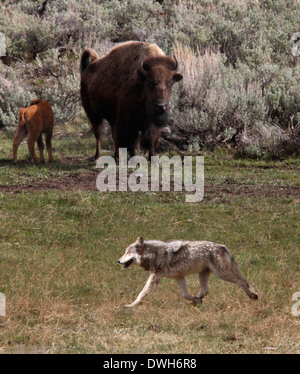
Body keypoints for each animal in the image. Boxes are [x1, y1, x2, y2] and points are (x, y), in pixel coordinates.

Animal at [117, 237, 258, 306]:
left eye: (127, 252)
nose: (118, 261)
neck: (154, 254)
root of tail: (223, 246)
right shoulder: (180, 277)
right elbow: (185, 294)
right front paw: (193, 299)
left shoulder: (154, 278)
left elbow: (141, 293)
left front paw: (131, 305)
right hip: (204, 274)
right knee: (204, 291)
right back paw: (197, 301)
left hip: (223, 274)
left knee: (242, 282)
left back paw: (253, 295)